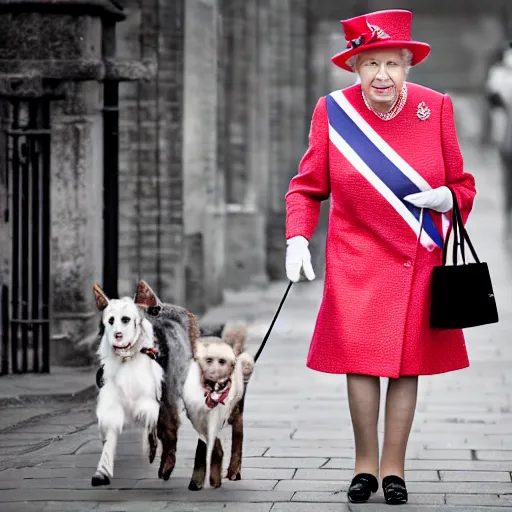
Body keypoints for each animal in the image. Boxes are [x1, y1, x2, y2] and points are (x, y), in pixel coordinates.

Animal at [91, 284, 163, 488]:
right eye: (110, 320)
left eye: (126, 319)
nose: (118, 336)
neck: (126, 360)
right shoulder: (111, 405)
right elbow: (109, 435)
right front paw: (102, 473)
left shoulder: (148, 402)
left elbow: (150, 421)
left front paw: (151, 447)